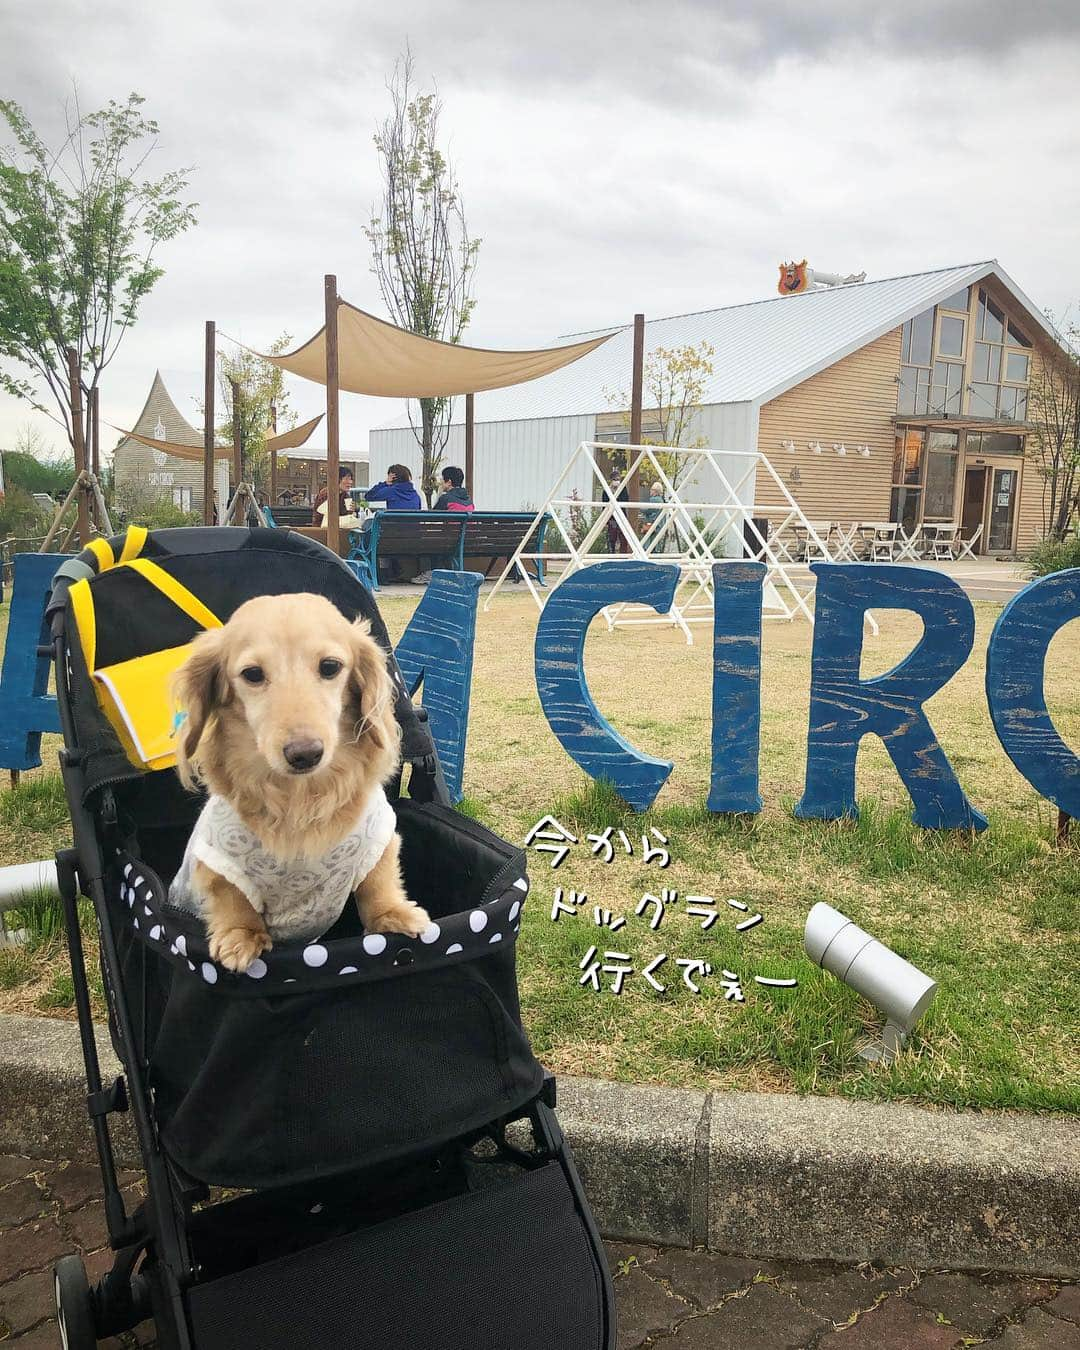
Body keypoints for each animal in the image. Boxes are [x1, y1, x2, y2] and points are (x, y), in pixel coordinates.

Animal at [44, 526, 615, 1350]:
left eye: (331, 668)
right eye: (249, 676)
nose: (303, 751)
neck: (302, 807)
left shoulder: (376, 838)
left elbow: (377, 883)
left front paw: (397, 923)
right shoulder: (214, 862)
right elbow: (231, 901)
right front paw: (241, 940)